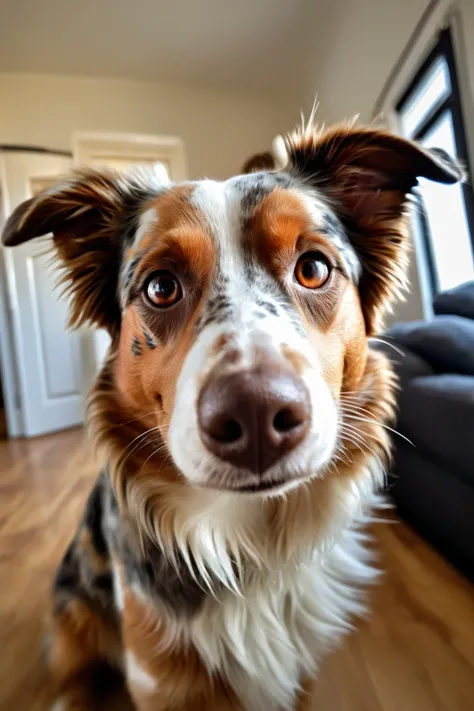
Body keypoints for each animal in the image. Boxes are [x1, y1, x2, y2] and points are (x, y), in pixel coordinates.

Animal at [1, 119, 462, 708]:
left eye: (313, 268)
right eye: (160, 286)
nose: (257, 415)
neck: (251, 542)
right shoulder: (158, 682)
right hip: (74, 611)